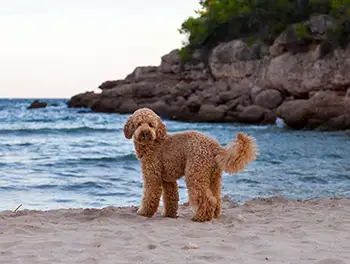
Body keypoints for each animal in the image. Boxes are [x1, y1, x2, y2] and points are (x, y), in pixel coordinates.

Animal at [123, 107, 258, 221]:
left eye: (151, 125)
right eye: (139, 124)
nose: (145, 132)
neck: (153, 143)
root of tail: (215, 146)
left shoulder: (152, 176)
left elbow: (149, 195)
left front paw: (143, 212)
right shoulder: (168, 180)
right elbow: (171, 198)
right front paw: (169, 214)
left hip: (195, 173)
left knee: (207, 199)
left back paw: (200, 217)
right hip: (214, 177)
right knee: (216, 198)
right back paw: (214, 214)